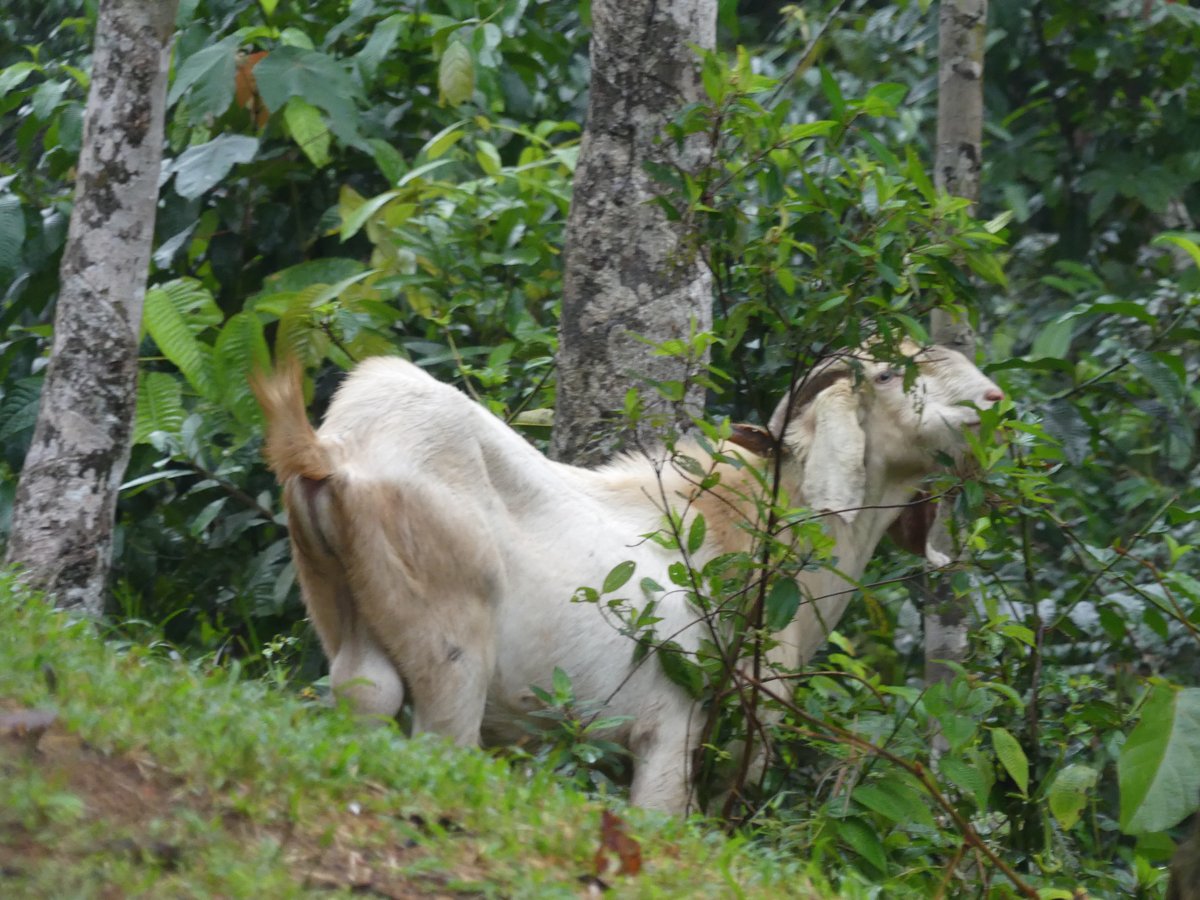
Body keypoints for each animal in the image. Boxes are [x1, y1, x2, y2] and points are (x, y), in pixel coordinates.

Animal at [251, 341, 1003, 813]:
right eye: (887, 377)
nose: (994, 399)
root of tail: (334, 452)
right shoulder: (675, 728)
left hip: (349, 621)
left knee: (366, 698)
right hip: (453, 651)